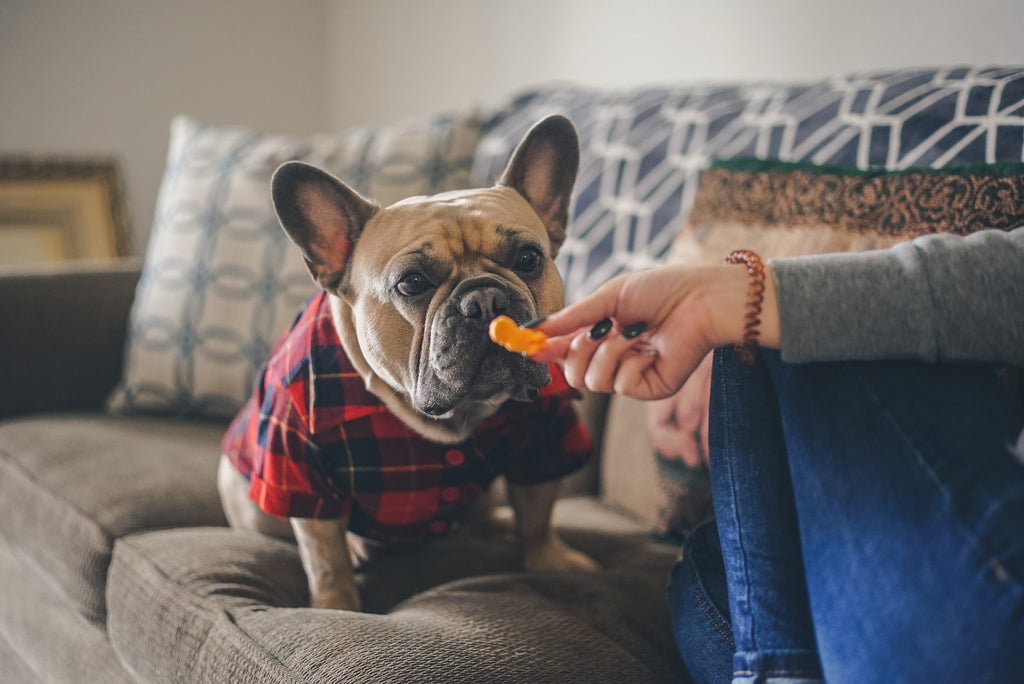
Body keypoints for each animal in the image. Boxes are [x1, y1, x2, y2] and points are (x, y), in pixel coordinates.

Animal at [217, 114, 598, 610]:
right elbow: (325, 557)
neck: (452, 418)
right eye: (412, 283)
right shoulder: (299, 468)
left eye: (529, 258)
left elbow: (537, 508)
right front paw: (337, 605)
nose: (485, 299)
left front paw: (550, 561)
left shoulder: (547, 435)